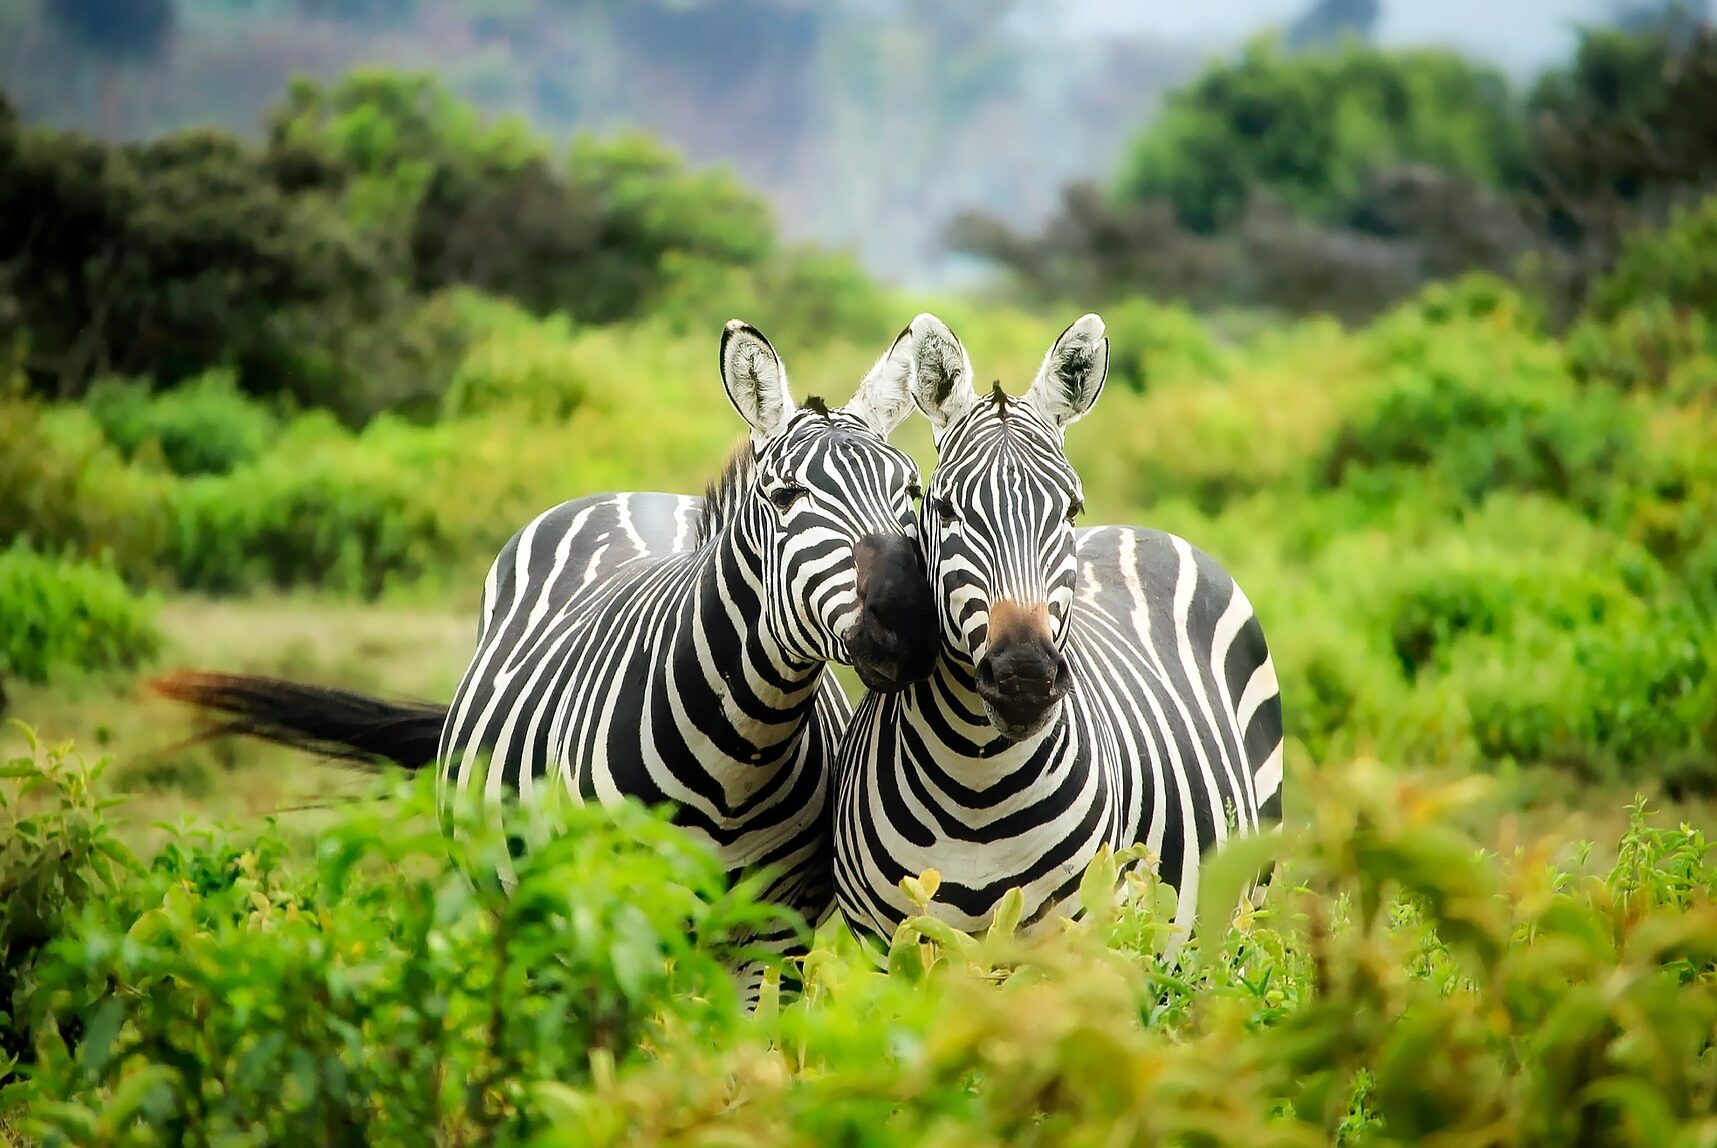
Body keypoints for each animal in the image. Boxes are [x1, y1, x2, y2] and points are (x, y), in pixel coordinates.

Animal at [151, 317, 940, 995]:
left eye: (910, 489)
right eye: (784, 495)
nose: (907, 623)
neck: (739, 755)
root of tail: (633, 493)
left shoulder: (772, 936)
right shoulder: (606, 917)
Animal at [831, 308, 1291, 954]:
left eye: (1070, 510)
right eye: (944, 509)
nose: (1023, 675)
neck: (975, 785)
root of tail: (1138, 528)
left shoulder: (1074, 944)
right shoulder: (889, 947)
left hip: (1241, 910)